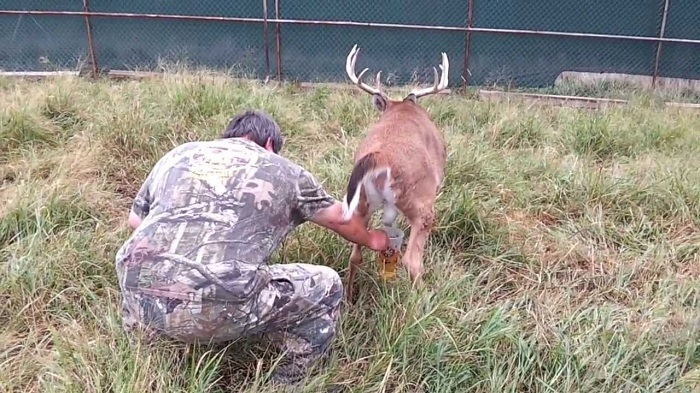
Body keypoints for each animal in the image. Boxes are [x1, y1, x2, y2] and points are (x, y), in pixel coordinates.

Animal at [340, 44, 448, 302]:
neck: (402, 109)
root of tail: (380, 159)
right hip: (420, 201)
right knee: (412, 261)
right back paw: (426, 301)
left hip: (361, 202)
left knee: (355, 254)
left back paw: (349, 299)